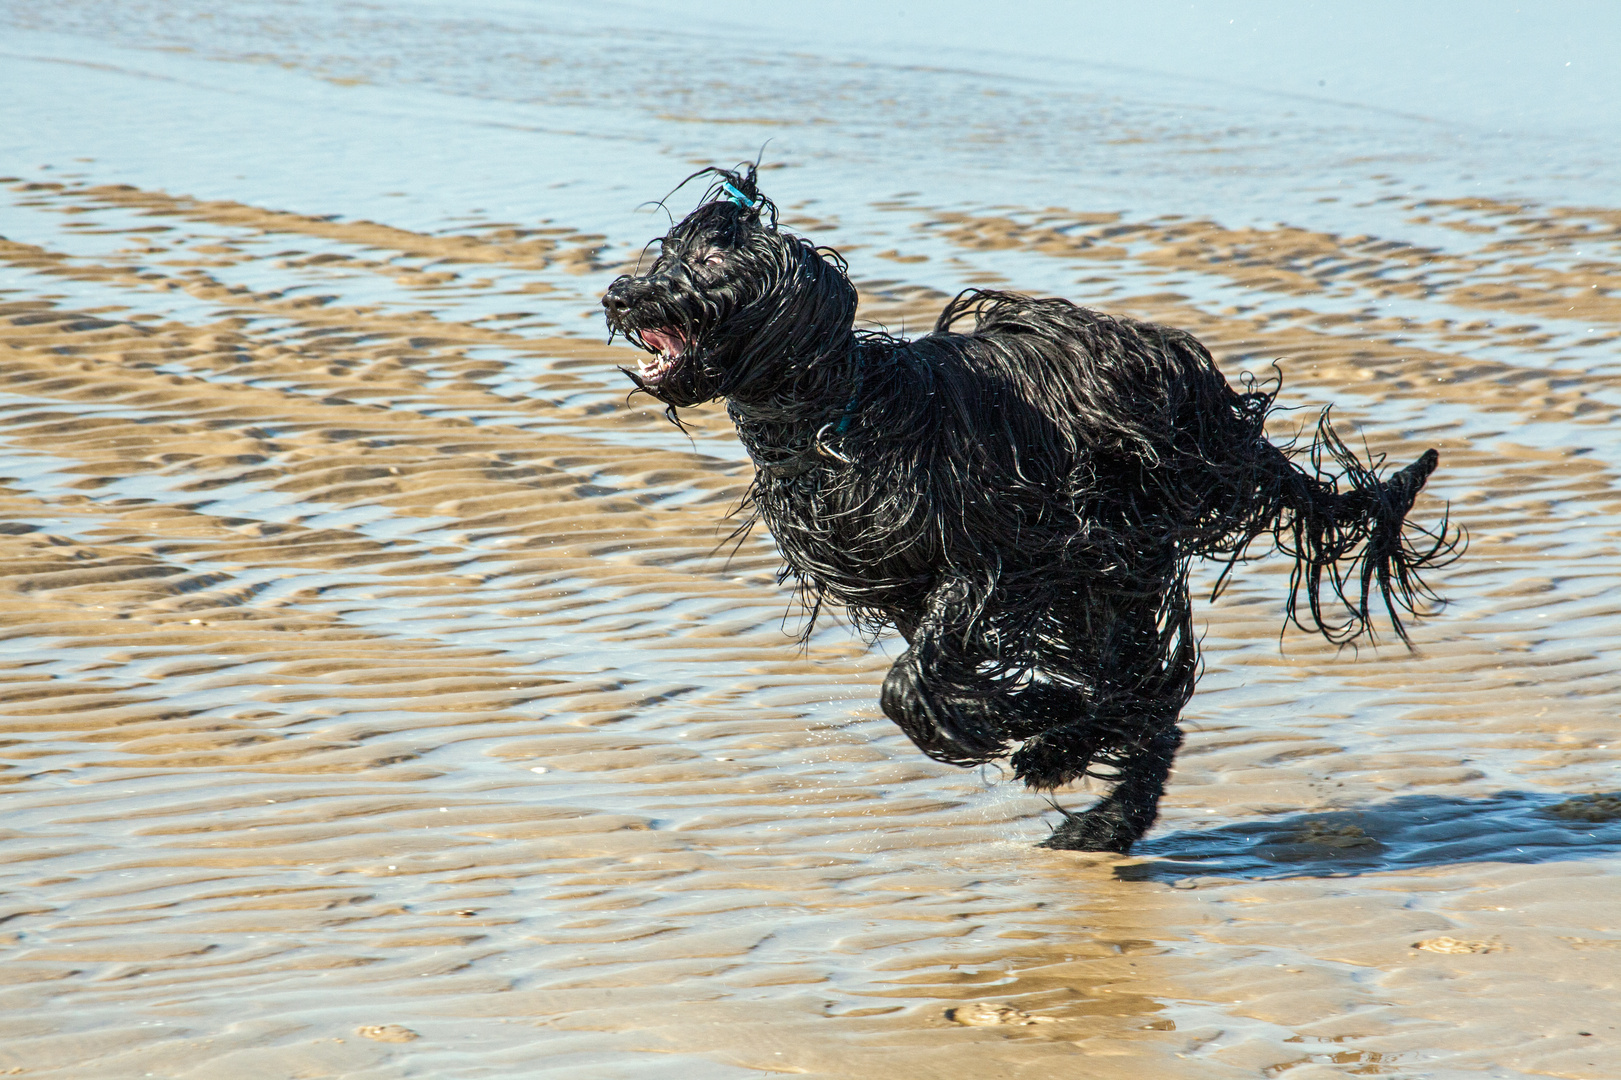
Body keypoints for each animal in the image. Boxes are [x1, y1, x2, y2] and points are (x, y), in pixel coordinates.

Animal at [603, 166, 1465, 849]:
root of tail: (1215, 404)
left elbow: (911, 684)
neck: (836, 413)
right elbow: (939, 673)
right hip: (1104, 576)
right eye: (668, 250)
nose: (620, 292)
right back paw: (1097, 801)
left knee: (1151, 688)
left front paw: (1018, 722)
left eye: (714, 257)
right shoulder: (911, 587)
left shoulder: (996, 558)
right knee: (1145, 692)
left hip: (1118, 553)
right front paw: (1028, 708)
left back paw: (1078, 778)